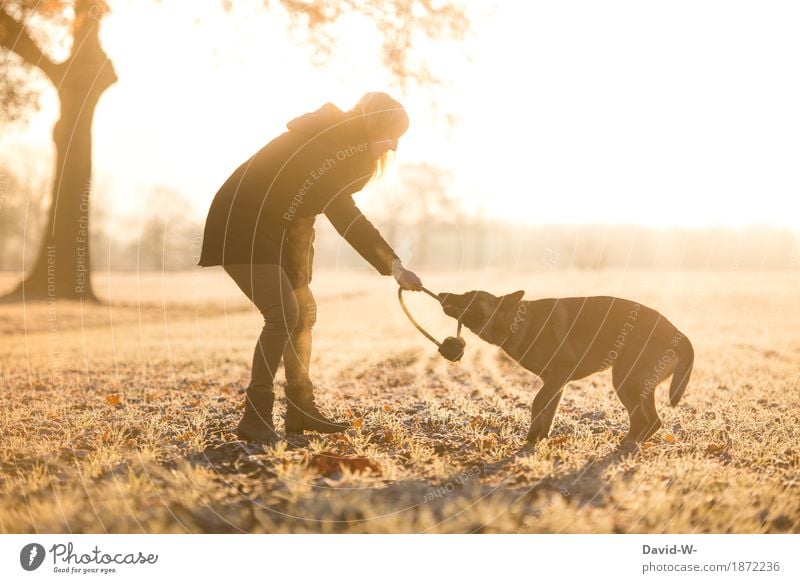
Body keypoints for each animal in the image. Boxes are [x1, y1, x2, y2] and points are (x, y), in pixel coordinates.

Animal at [438, 290, 692, 444]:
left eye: (469, 296)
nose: (441, 294)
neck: (516, 323)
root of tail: (678, 333)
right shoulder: (556, 383)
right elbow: (548, 410)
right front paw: (539, 438)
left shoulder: (560, 374)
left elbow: (537, 402)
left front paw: (532, 436)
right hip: (638, 386)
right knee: (653, 421)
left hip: (624, 381)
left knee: (643, 420)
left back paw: (626, 446)